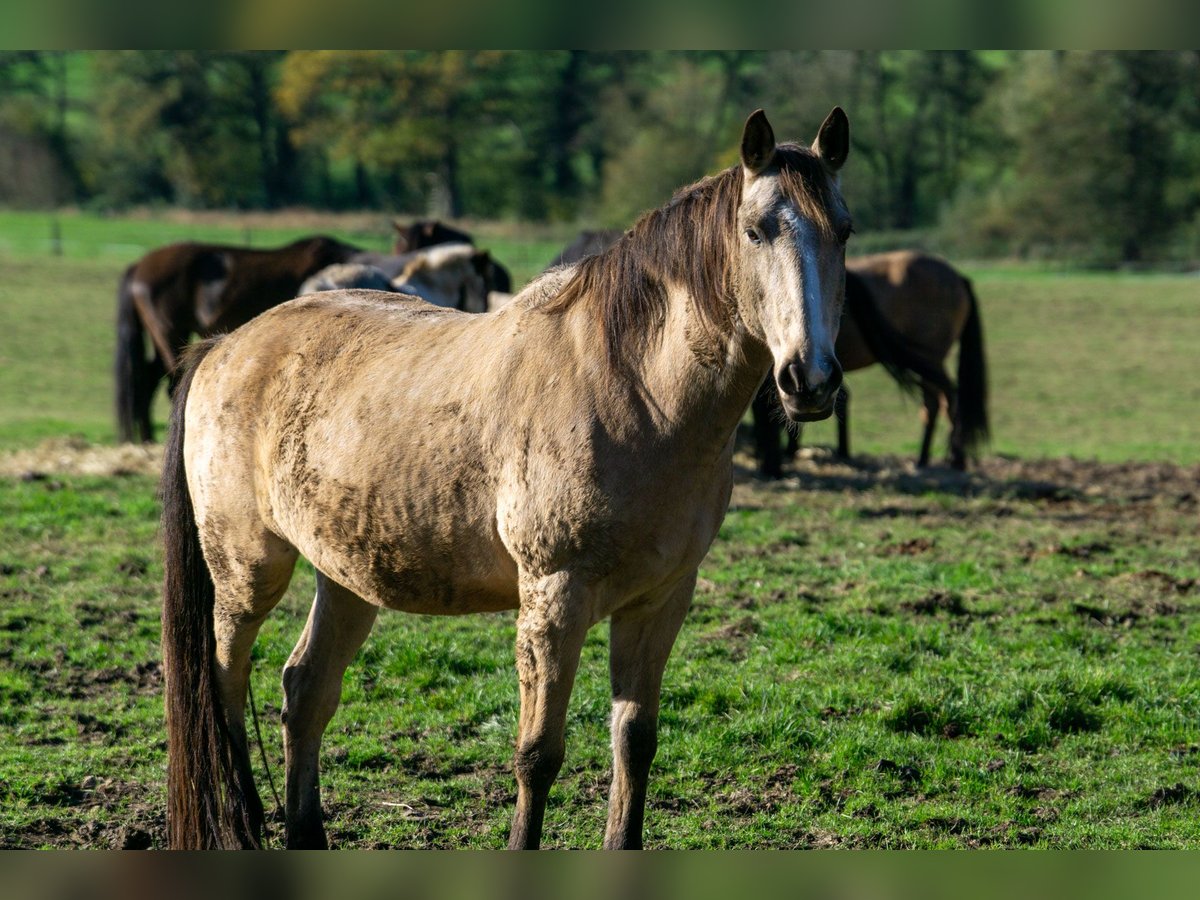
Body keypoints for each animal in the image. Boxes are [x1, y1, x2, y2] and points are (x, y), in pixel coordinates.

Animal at [159, 107, 854, 854]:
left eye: (843, 230)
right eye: (755, 230)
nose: (810, 379)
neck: (634, 390)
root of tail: (224, 345)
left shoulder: (661, 599)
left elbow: (635, 741)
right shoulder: (554, 597)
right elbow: (538, 755)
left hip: (346, 574)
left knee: (305, 693)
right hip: (247, 571)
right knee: (224, 689)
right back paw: (240, 824)